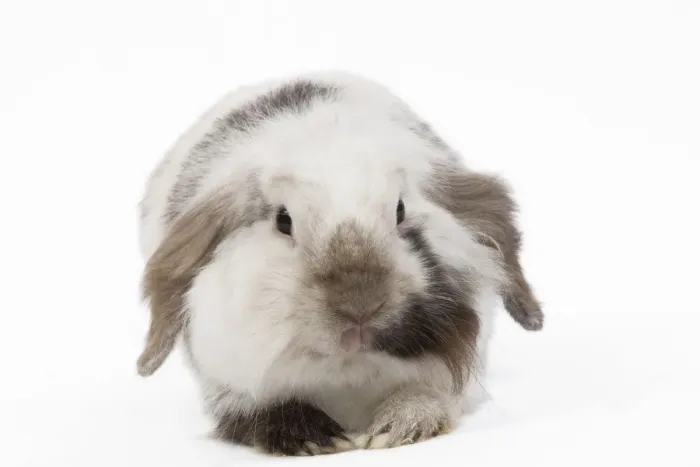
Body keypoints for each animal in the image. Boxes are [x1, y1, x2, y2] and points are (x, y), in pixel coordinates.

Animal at [136, 71, 544, 456]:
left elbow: (426, 394)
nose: (360, 306)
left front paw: (396, 427)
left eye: (400, 210)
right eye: (283, 220)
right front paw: (317, 440)